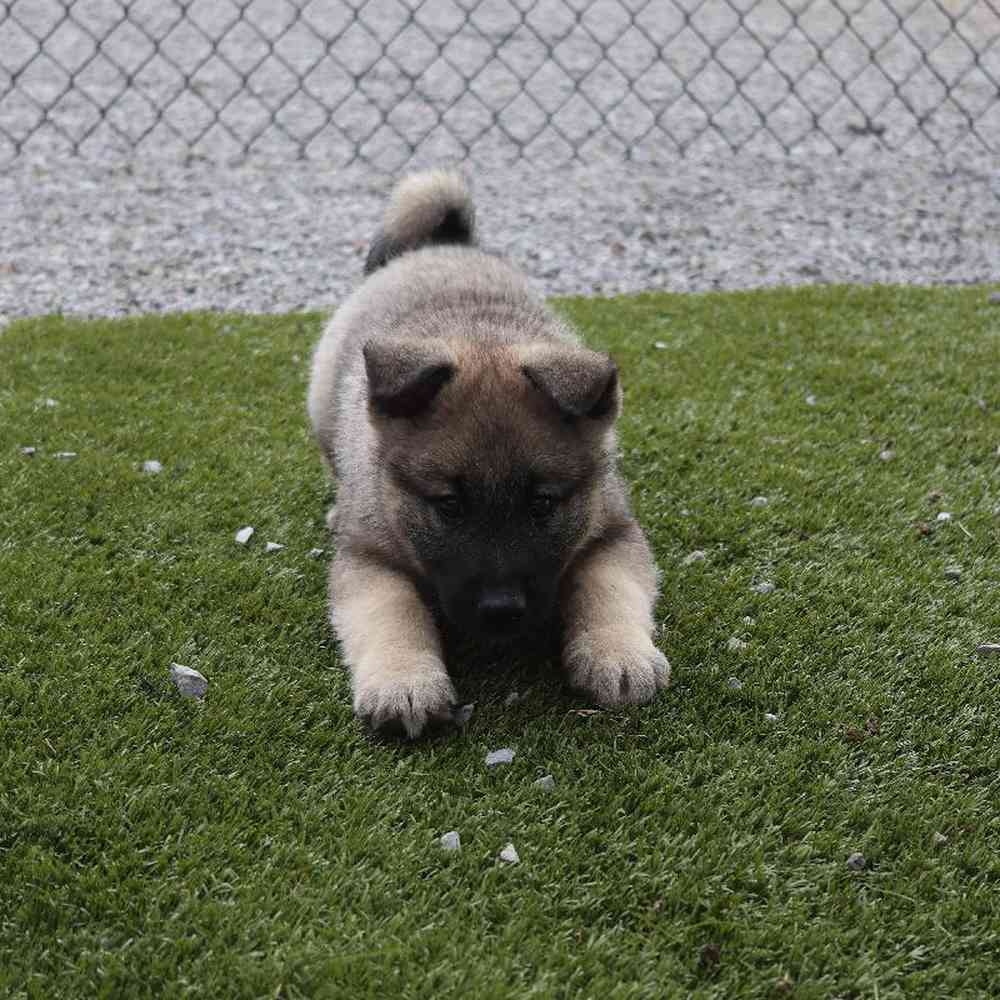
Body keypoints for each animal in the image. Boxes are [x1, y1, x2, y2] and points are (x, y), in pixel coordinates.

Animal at [304, 170, 664, 736]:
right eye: (449, 505)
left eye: (542, 504)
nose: (501, 610)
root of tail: (445, 245)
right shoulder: (369, 560)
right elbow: (392, 613)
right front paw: (404, 682)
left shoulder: (613, 532)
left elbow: (607, 589)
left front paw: (619, 655)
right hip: (321, 401)